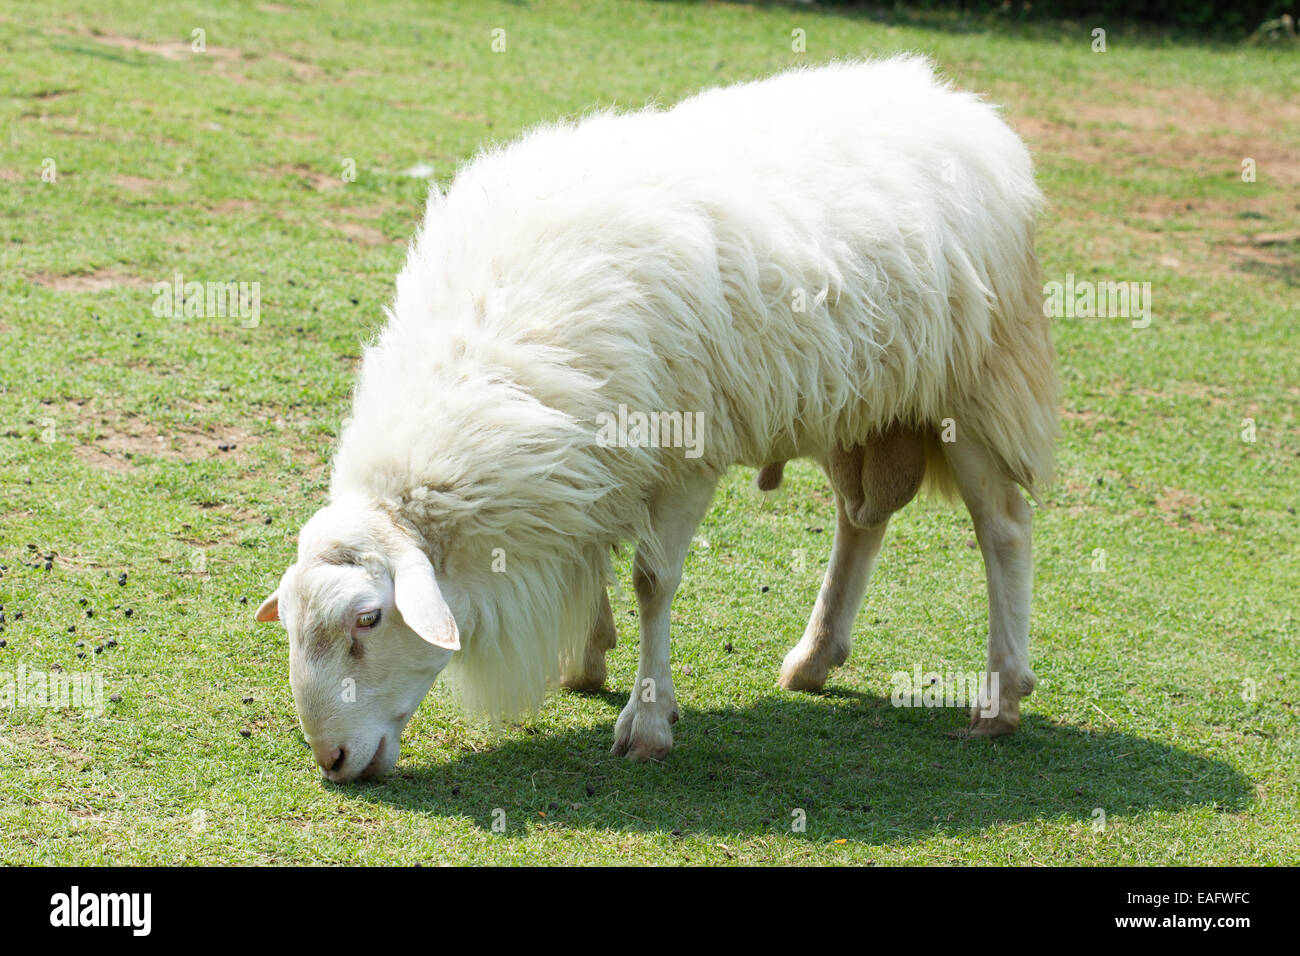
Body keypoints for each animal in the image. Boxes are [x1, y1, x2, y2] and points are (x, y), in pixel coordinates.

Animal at [255, 55, 1058, 782]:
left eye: (368, 620)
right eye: (291, 620)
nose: (331, 760)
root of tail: (961, 105)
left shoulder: (683, 454)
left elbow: (652, 580)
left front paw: (646, 720)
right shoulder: (594, 451)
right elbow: (593, 553)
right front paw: (587, 658)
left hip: (974, 383)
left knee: (1002, 528)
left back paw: (999, 698)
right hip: (860, 402)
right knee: (860, 521)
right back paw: (813, 658)